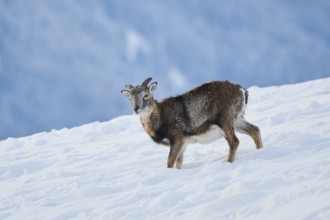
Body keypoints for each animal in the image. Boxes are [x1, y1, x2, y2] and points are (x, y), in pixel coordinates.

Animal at [121, 77, 262, 168]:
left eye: (145, 95)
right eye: (130, 98)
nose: (136, 109)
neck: (160, 117)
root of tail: (241, 90)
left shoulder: (177, 139)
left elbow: (170, 163)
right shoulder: (183, 144)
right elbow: (179, 163)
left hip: (225, 121)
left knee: (234, 142)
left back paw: (228, 163)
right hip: (237, 120)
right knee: (255, 130)